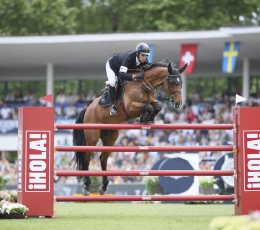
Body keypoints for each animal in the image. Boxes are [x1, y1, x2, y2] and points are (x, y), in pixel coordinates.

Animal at [73, 58, 187, 195]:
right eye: (172, 82)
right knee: (86, 158)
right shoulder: (130, 107)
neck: (143, 84)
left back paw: (103, 186)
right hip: (92, 137)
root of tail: (88, 108)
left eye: (181, 83)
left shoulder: (152, 102)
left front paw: (147, 118)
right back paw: (87, 186)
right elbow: (148, 107)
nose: (178, 103)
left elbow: (157, 106)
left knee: (103, 159)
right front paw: (145, 117)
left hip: (110, 137)